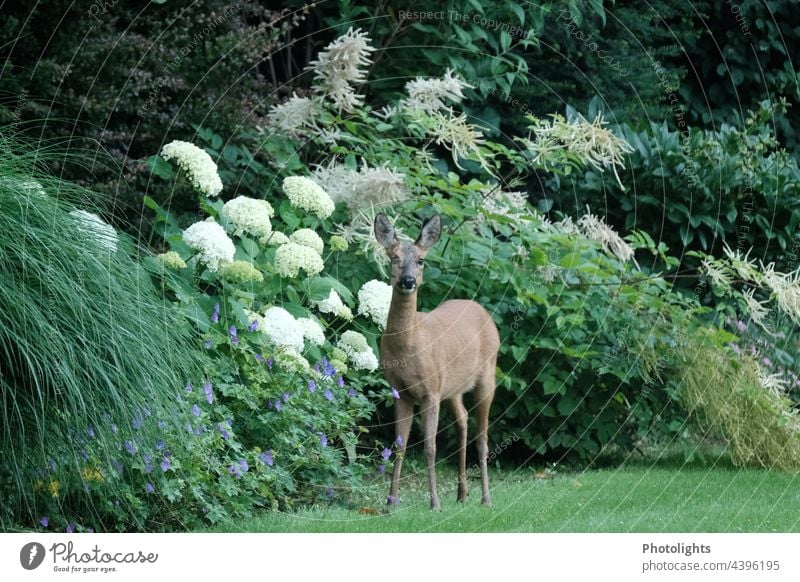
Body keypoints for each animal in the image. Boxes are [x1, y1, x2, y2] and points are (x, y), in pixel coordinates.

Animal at [376, 214, 500, 512]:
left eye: (421, 260)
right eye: (394, 257)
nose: (408, 280)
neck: (409, 345)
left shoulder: (430, 390)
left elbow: (429, 447)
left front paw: (434, 503)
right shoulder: (401, 391)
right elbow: (400, 446)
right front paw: (390, 503)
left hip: (487, 376)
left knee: (483, 437)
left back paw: (486, 498)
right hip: (452, 388)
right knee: (463, 420)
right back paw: (462, 493)